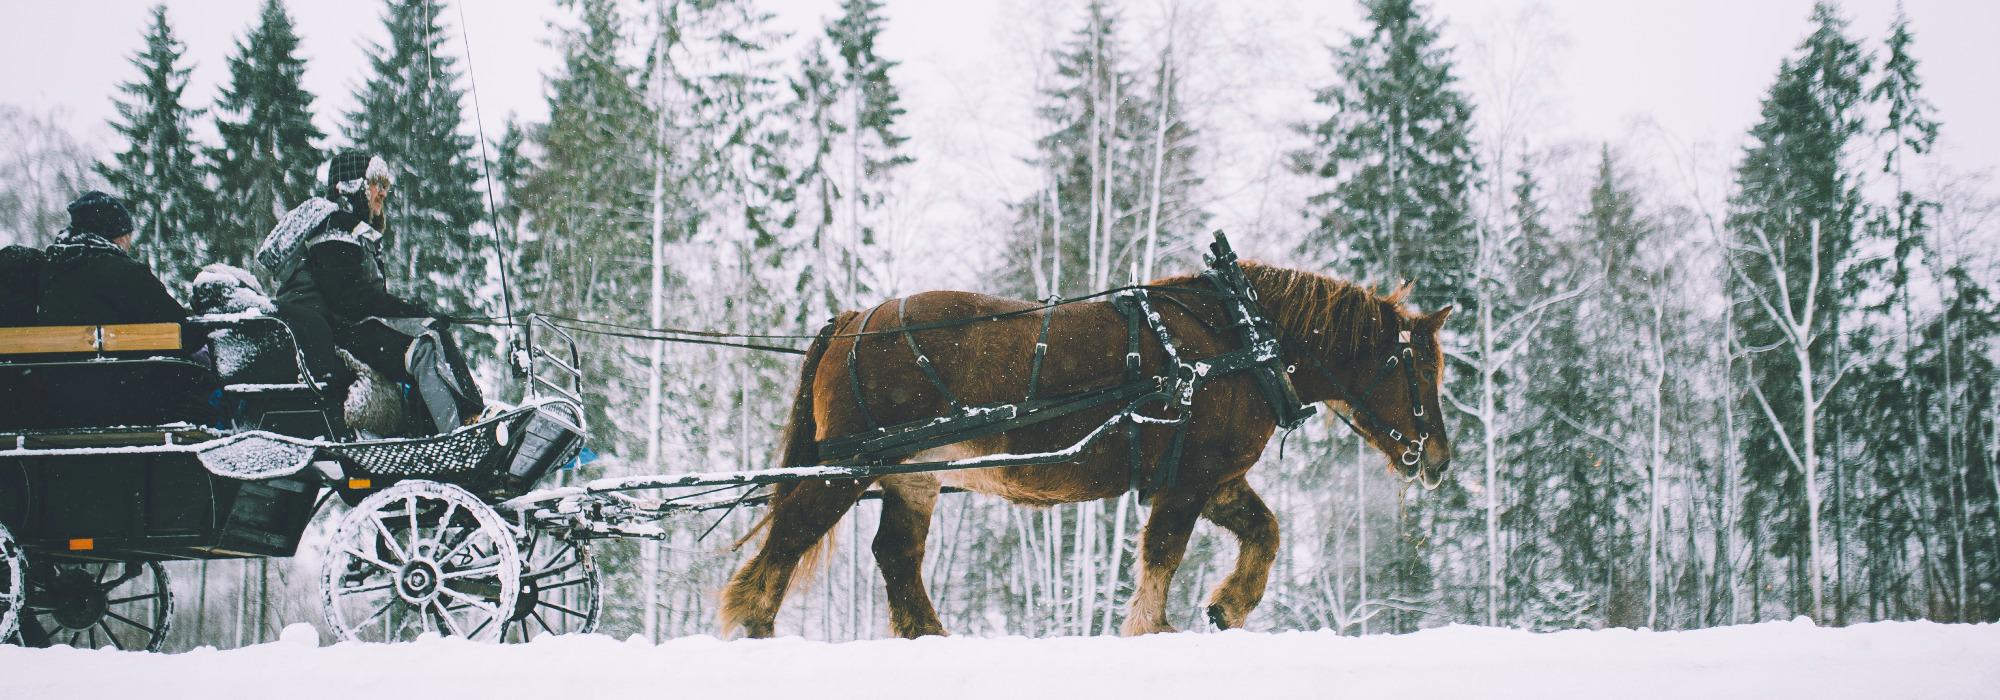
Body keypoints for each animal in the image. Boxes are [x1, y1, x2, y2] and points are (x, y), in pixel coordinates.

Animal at [720, 260, 1456, 636]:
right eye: (1419, 368)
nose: (1439, 459)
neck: (1239, 341)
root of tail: (852, 319)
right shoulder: (1187, 481)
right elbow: (1163, 555)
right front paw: (1152, 631)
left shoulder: (1214, 480)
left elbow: (1265, 533)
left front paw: (1228, 606)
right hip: (845, 468)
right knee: (786, 543)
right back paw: (755, 630)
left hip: (911, 477)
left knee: (895, 557)